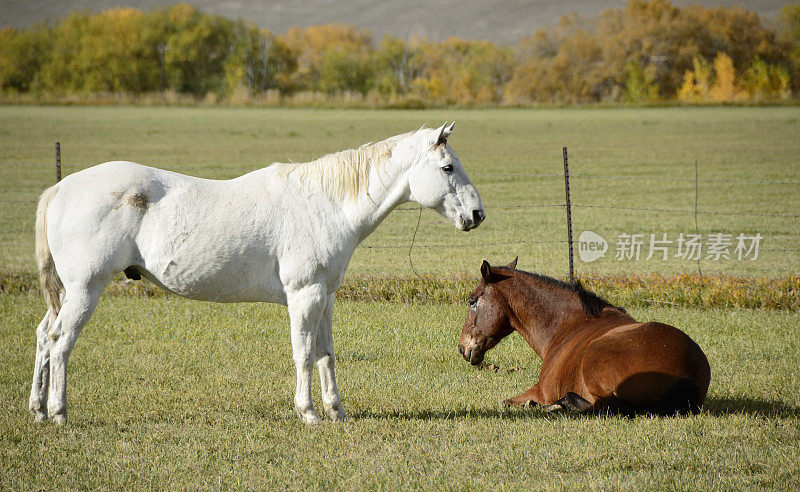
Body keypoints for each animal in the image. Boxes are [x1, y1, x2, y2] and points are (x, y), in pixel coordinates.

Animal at [29, 122, 488, 422]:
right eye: (447, 167)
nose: (477, 214)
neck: (325, 204)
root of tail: (62, 187)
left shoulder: (325, 296)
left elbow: (326, 353)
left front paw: (336, 411)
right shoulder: (304, 295)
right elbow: (304, 352)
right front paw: (308, 413)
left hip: (68, 293)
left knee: (43, 335)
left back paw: (36, 409)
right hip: (86, 289)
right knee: (60, 341)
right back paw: (58, 412)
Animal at [460, 260, 708, 418]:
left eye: (472, 301)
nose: (463, 347)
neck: (569, 325)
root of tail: (688, 372)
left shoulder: (539, 390)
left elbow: (509, 402)